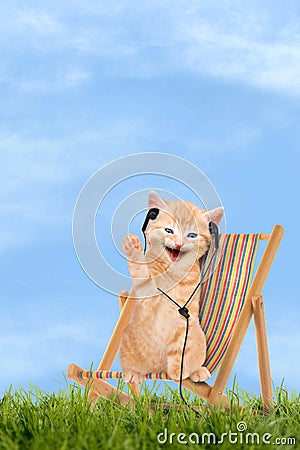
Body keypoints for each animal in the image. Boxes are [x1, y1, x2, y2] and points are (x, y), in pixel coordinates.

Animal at [119, 190, 223, 384]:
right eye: (169, 231)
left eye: (191, 235)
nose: (178, 244)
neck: (171, 273)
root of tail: (158, 370)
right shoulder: (146, 289)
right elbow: (140, 269)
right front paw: (133, 244)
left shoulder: (186, 316)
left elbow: (181, 344)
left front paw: (179, 370)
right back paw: (133, 372)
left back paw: (197, 371)